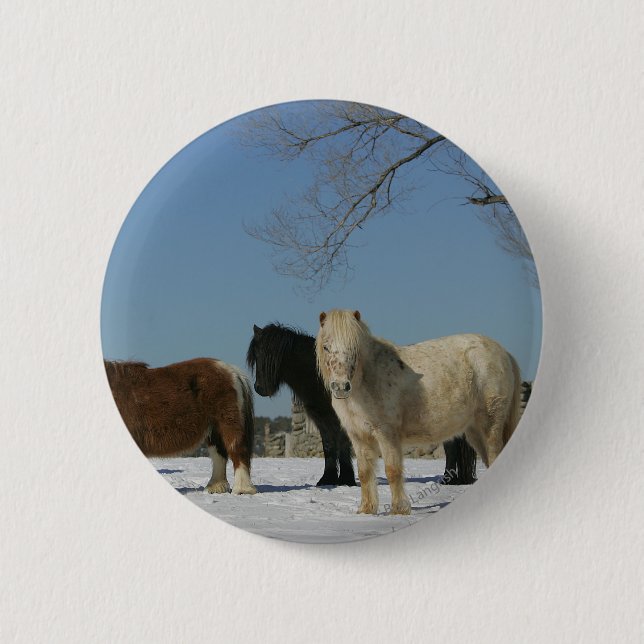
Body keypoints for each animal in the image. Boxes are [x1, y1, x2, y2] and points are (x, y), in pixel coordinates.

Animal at [104, 358, 257, 495]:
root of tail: (231, 371)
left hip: (228, 423)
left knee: (237, 451)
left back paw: (242, 490)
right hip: (214, 430)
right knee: (219, 454)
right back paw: (215, 487)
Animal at [246, 323, 357, 486]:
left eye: (272, 356)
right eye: (256, 356)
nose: (260, 388)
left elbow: (342, 441)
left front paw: (346, 479)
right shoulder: (321, 416)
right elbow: (328, 444)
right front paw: (327, 479)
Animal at [316, 310, 521, 515]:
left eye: (354, 347)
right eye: (326, 347)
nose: (341, 387)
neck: (367, 379)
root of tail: (503, 352)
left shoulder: (386, 433)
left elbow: (392, 470)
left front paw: (399, 510)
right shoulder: (359, 436)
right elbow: (365, 473)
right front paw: (366, 510)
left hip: (490, 424)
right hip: (474, 431)